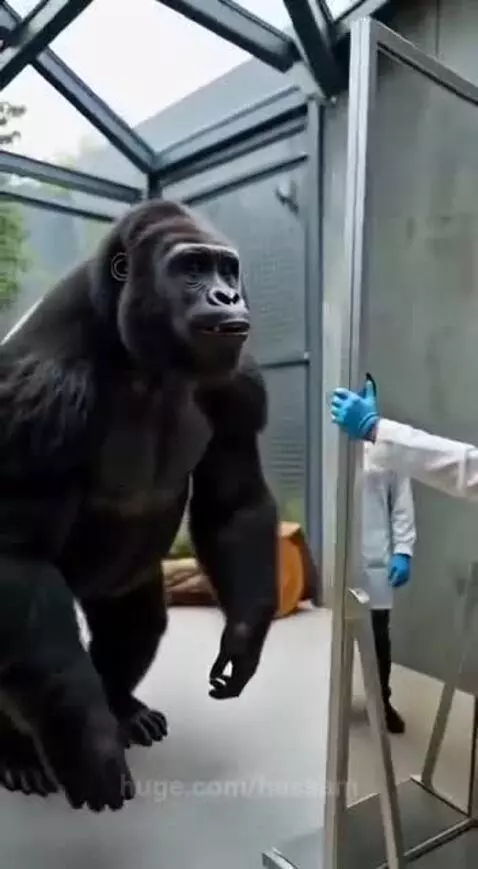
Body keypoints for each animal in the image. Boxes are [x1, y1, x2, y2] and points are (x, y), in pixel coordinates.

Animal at [0, 199, 278, 812]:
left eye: (227, 269)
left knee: (135, 621)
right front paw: (88, 745)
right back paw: (14, 750)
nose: (227, 296)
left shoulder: (237, 378)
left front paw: (245, 637)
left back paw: (120, 706)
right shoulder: (40, 396)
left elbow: (235, 500)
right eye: (191, 269)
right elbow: (17, 558)